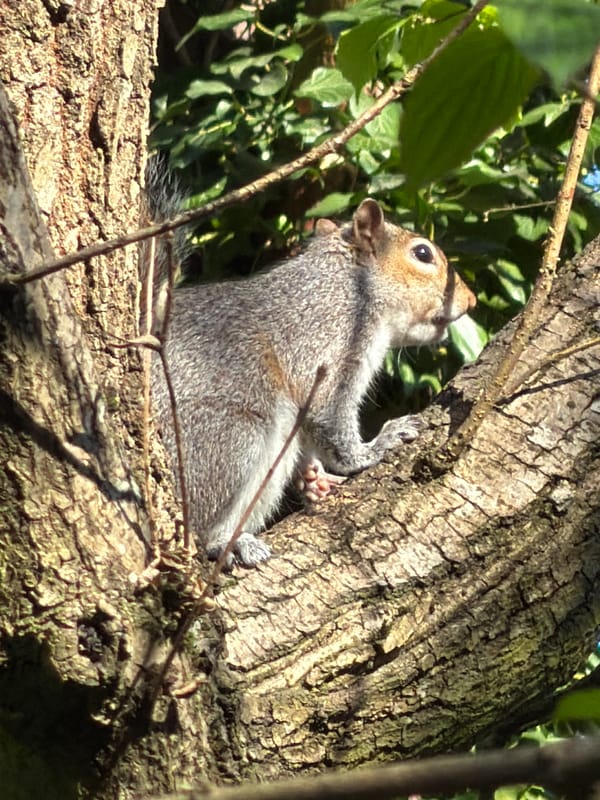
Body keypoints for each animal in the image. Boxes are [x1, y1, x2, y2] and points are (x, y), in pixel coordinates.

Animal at [145, 174, 476, 567]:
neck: (350, 286)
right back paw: (225, 541)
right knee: (196, 524)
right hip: (228, 439)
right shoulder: (325, 344)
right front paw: (373, 449)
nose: (471, 300)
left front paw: (317, 479)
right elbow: (332, 421)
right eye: (422, 254)